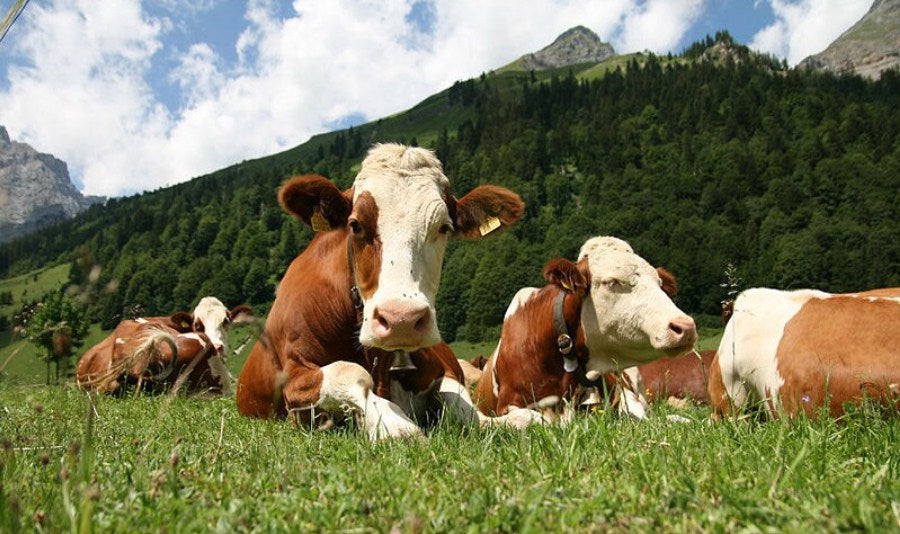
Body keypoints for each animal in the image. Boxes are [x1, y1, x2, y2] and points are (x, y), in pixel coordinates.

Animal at [235, 143, 524, 440]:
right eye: (355, 224)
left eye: (444, 227)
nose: (402, 320)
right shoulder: (294, 378)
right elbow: (350, 372)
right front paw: (392, 424)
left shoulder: (441, 370)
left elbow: (462, 403)